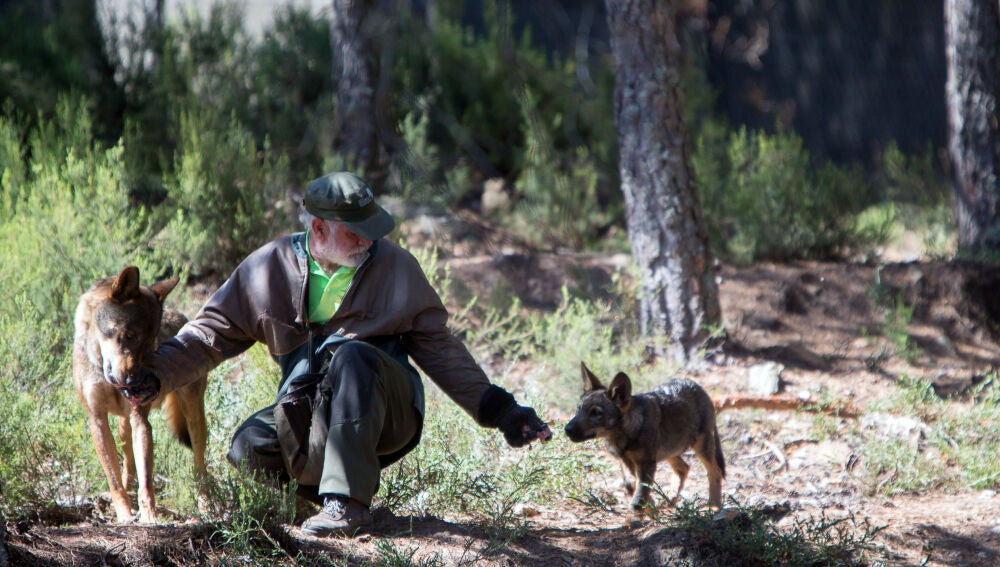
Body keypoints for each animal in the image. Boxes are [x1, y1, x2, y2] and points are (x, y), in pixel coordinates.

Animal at [72, 266, 208, 524]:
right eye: (129, 335)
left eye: (149, 345)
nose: (134, 382)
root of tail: (182, 315)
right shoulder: (98, 420)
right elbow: (115, 480)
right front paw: (125, 515)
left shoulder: (140, 421)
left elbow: (147, 482)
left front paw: (150, 518)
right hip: (123, 425)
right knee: (127, 464)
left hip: (194, 417)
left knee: (199, 464)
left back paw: (206, 503)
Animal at [564, 362, 725, 518]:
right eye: (578, 409)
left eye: (596, 413)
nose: (567, 429)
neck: (626, 434)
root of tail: (697, 386)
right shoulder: (629, 462)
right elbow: (636, 489)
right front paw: (651, 510)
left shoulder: (646, 464)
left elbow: (638, 498)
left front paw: (635, 519)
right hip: (669, 451)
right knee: (684, 468)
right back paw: (670, 500)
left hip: (700, 445)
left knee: (715, 472)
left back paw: (713, 506)